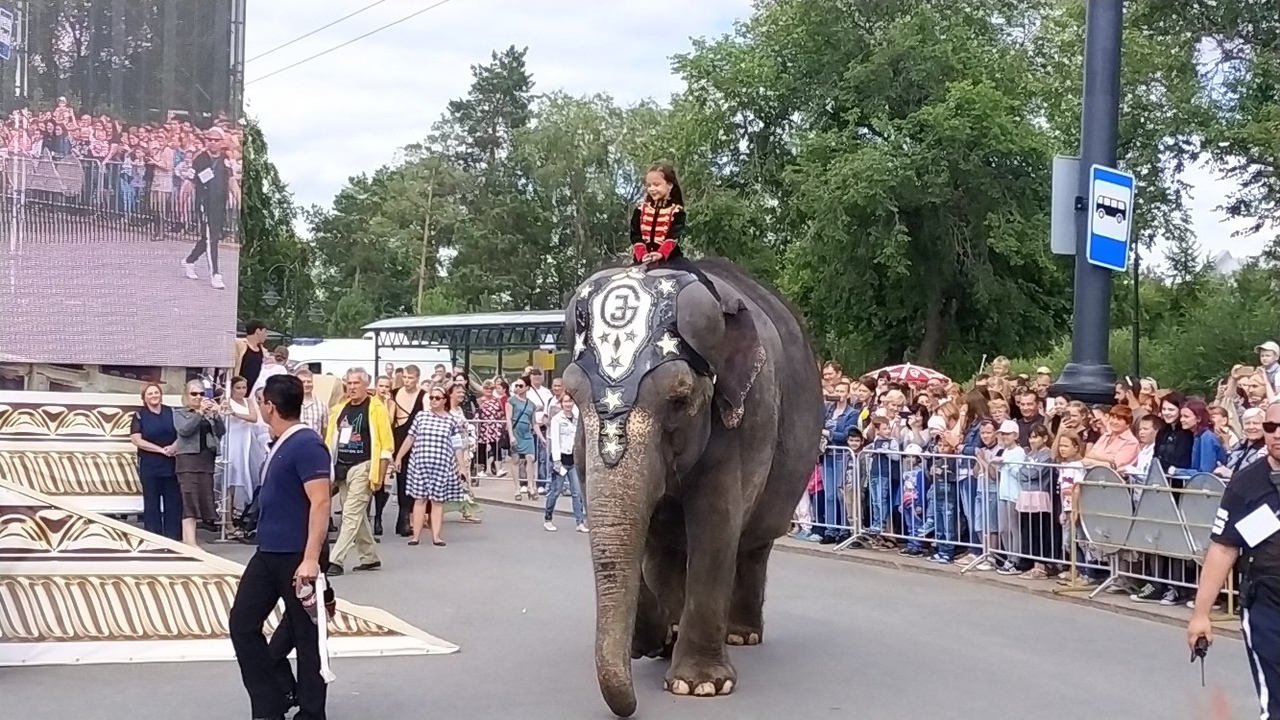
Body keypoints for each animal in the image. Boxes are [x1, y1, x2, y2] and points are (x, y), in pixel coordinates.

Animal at [563, 256, 824, 712]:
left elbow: (715, 526)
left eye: (679, 399)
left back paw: (740, 635)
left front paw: (699, 685)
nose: (630, 707)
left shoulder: (741, 418)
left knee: (754, 543)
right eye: (571, 395)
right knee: (667, 548)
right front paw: (659, 642)